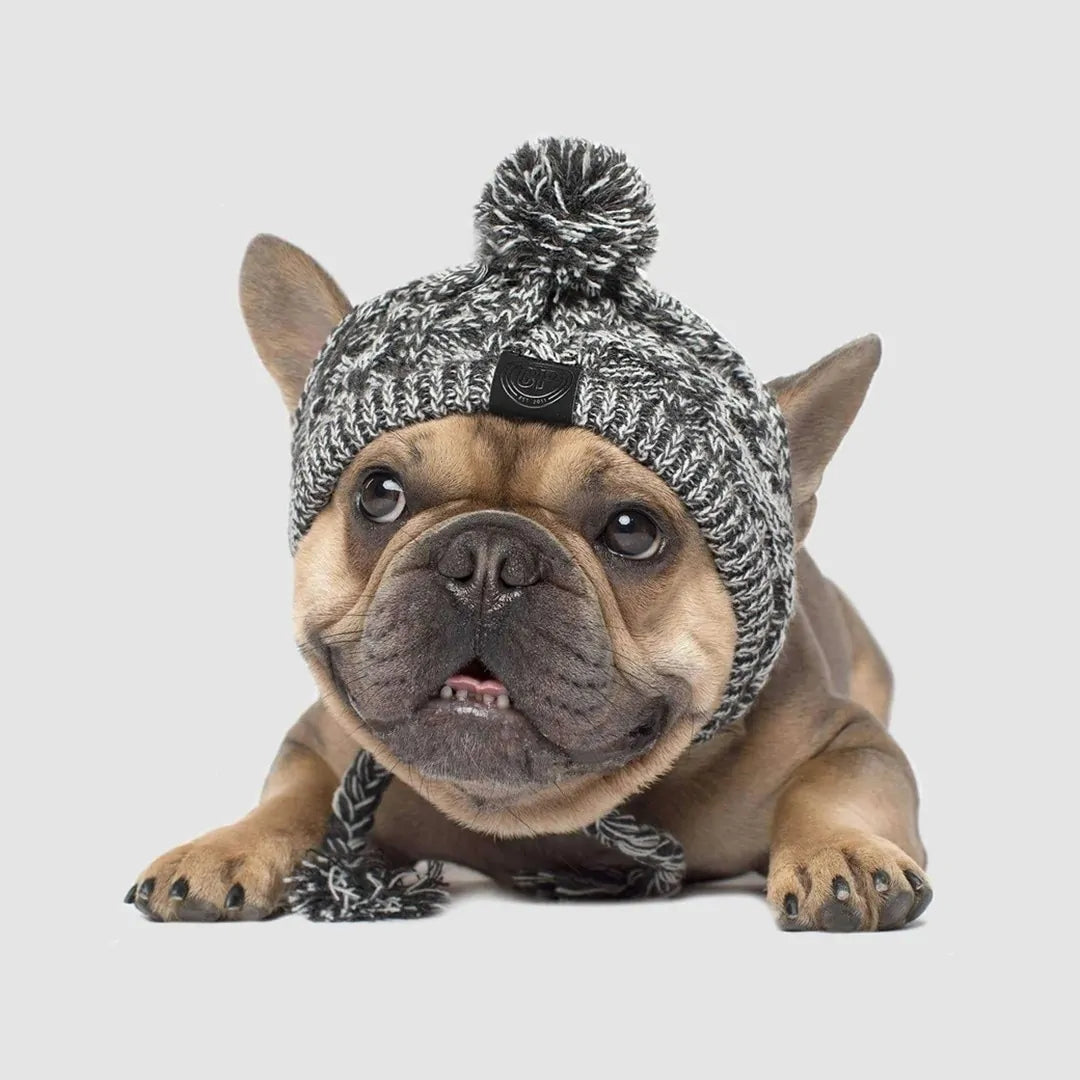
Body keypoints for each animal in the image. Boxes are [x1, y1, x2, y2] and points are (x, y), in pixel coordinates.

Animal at [128, 230, 928, 937]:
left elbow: (834, 790)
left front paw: (842, 854)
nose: (487, 558)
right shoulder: (317, 742)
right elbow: (291, 795)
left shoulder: (853, 740)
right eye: (378, 493)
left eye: (633, 530)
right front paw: (226, 846)